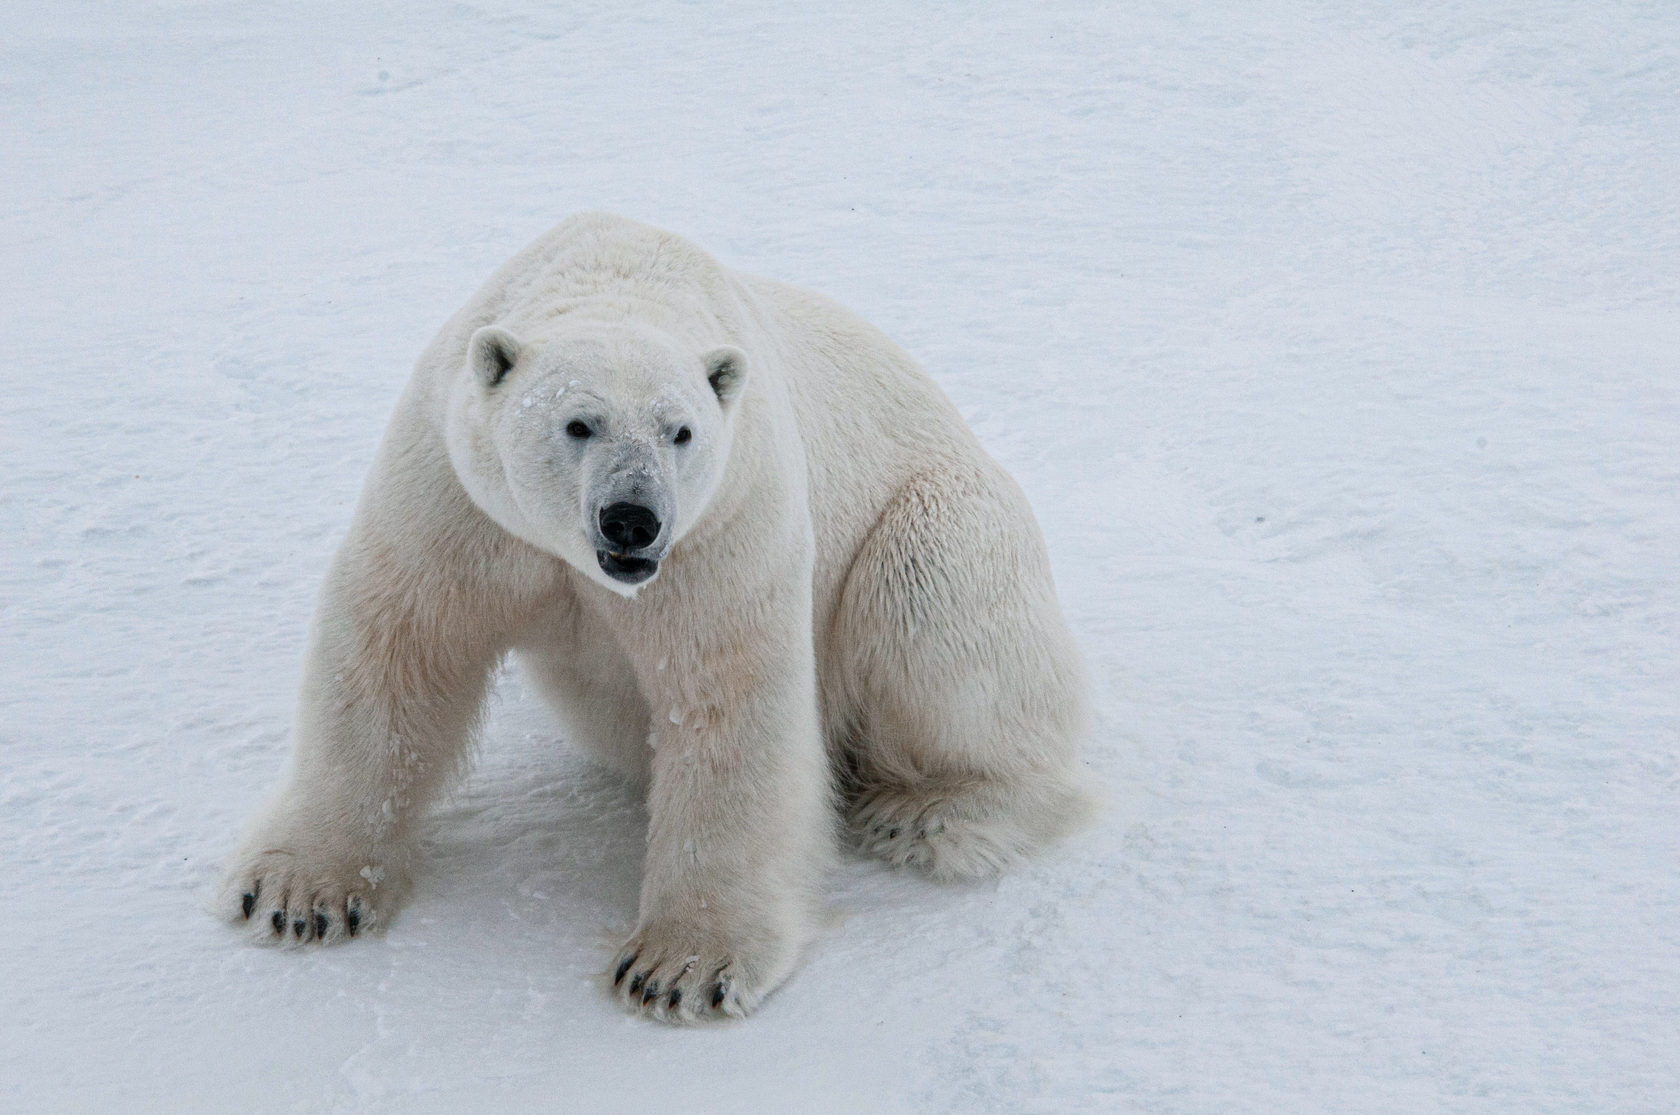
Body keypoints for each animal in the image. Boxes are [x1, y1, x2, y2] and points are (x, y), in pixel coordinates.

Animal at [216, 213, 1095, 1020]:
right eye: (578, 422)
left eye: (682, 431)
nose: (632, 519)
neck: (622, 273)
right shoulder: (459, 498)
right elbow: (398, 647)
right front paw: (297, 894)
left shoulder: (723, 524)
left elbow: (729, 699)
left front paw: (678, 968)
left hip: (944, 518)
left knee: (932, 609)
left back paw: (927, 815)